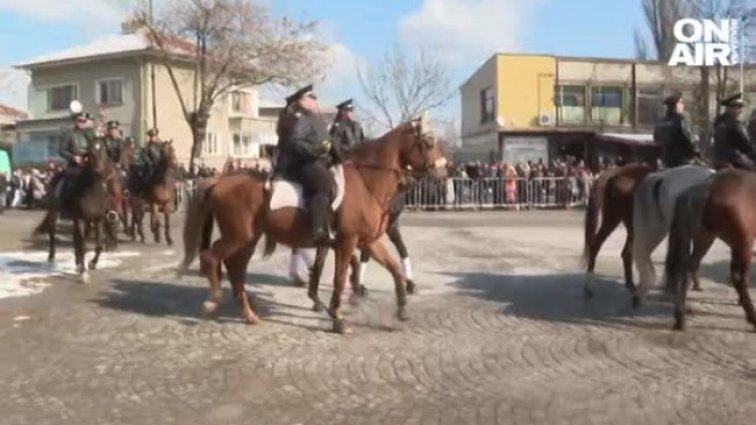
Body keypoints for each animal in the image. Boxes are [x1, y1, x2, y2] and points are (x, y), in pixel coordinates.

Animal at [34, 141, 116, 284]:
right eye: (91, 154)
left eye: (104, 152)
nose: (99, 171)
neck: (93, 192)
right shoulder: (80, 219)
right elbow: (82, 245)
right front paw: (84, 273)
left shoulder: (98, 220)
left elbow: (98, 245)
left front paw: (91, 264)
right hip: (55, 212)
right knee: (52, 233)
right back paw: (52, 257)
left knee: (74, 239)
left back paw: (77, 263)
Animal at [179, 115, 446, 332]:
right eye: (429, 142)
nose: (444, 172)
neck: (367, 182)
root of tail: (220, 179)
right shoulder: (347, 242)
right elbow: (339, 278)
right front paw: (338, 318)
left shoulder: (367, 241)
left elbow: (394, 268)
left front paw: (402, 307)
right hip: (238, 236)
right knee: (211, 258)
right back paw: (212, 301)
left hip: (248, 240)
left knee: (235, 271)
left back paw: (249, 313)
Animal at [664, 167, 752, 330]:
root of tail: (706, 188)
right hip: (741, 243)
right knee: (739, 277)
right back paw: (751, 316)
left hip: (707, 238)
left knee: (687, 268)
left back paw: (680, 317)